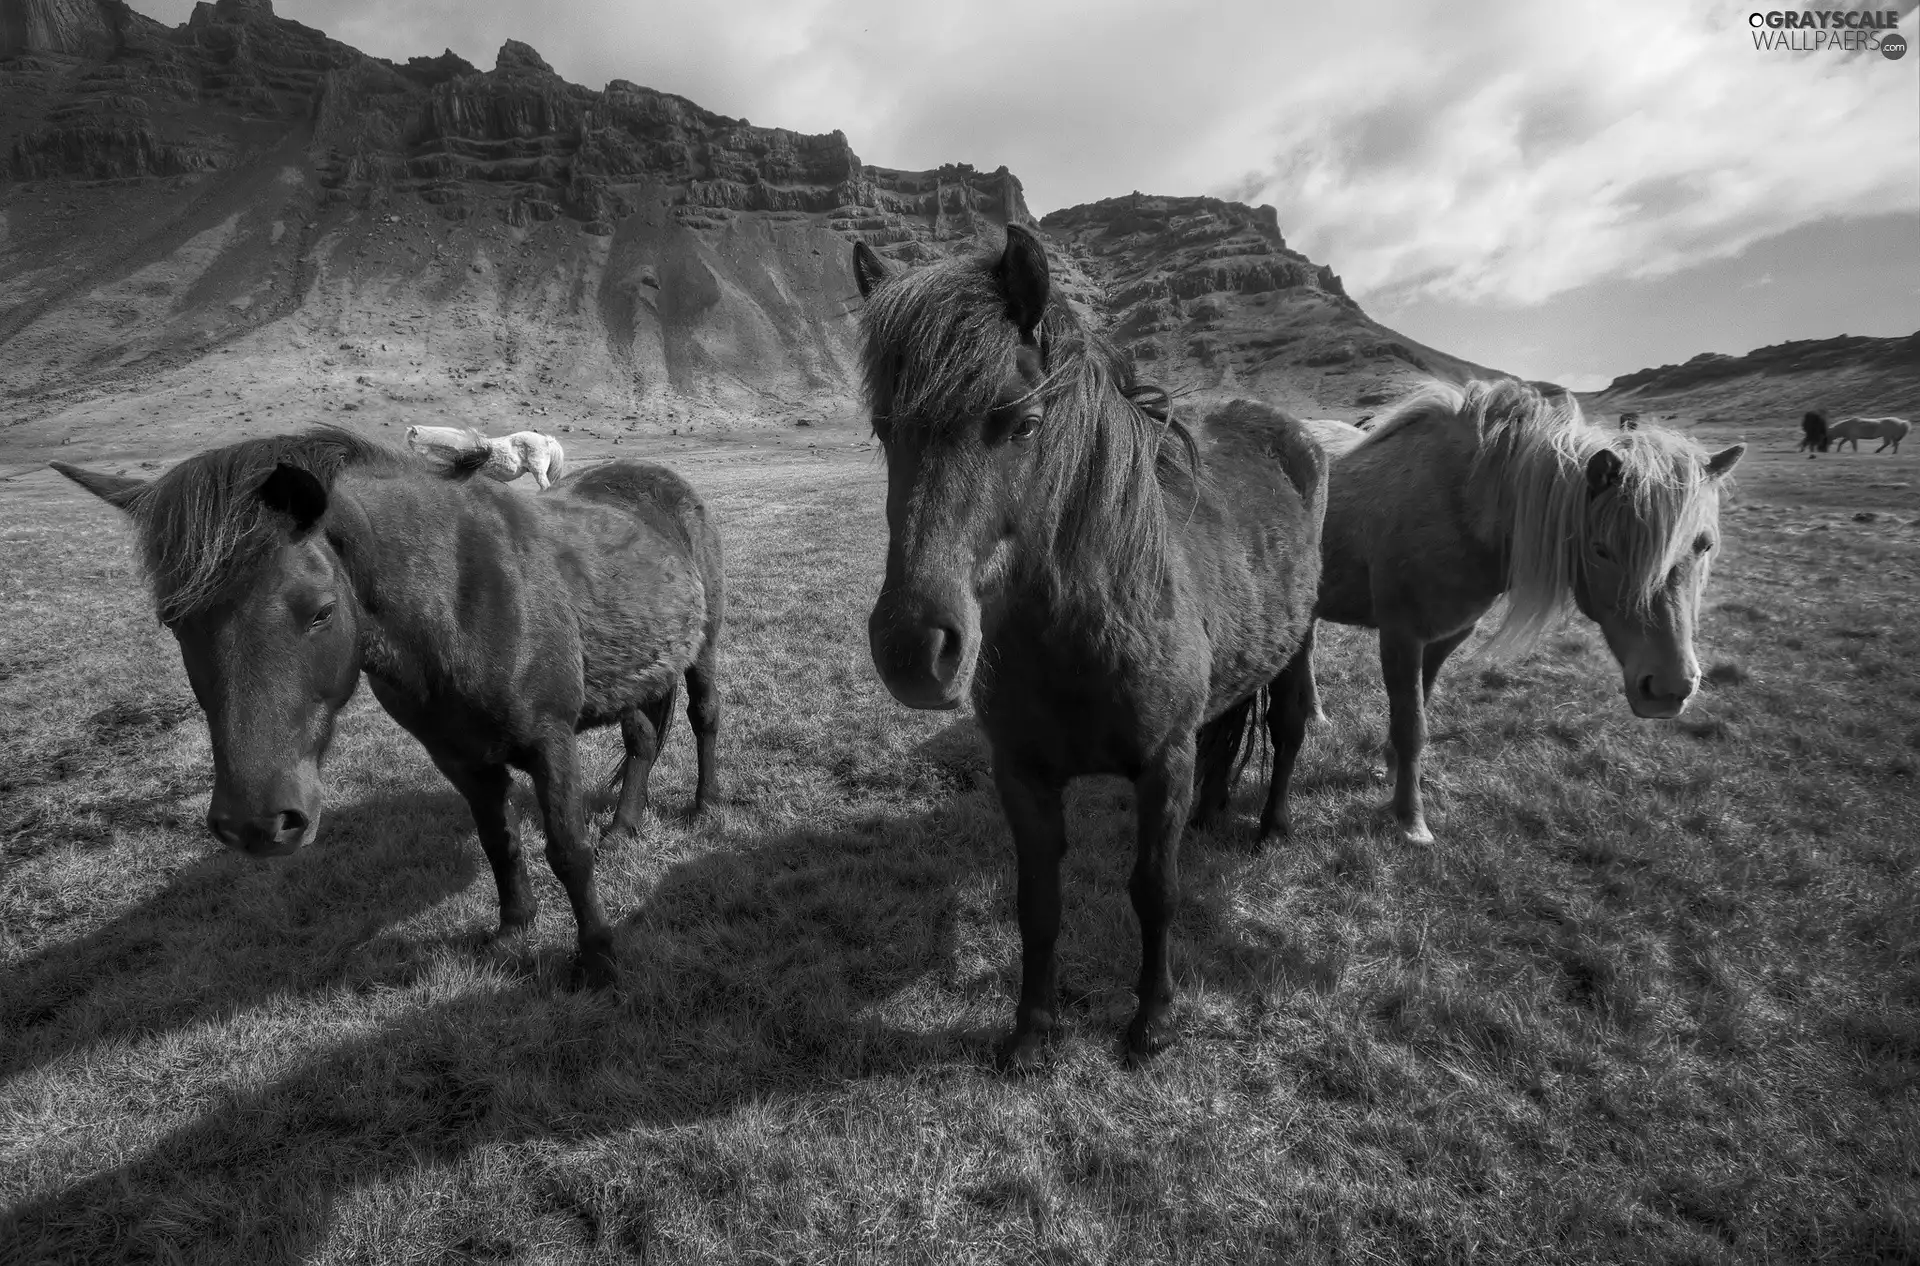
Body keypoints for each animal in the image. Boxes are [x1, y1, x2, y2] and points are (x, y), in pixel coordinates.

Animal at [54, 430, 725, 998]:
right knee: (641, 739)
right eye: (172, 621)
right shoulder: (458, 757)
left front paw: (598, 961)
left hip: (704, 649)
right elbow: (499, 841)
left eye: (321, 611)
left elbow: (568, 851)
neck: (457, 598)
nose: (257, 824)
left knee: (704, 717)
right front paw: (514, 929)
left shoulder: (549, 742)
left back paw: (705, 806)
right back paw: (625, 827)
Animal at [860, 227, 1328, 1068]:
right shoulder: (1021, 773)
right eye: (885, 430)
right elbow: (1038, 902)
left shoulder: (1162, 765)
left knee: (1287, 724)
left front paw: (1153, 1021)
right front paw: (1032, 1032)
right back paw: (1212, 814)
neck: (1084, 628)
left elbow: (1155, 890)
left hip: (1299, 641)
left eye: (1021, 422)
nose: (914, 647)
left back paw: (1271, 827)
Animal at [1305, 382, 1743, 845]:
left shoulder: (1445, 637)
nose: (1668, 689)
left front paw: (1390, 768)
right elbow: (1412, 726)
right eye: (1601, 549)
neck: (1460, 504)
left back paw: (1314, 715)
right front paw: (1411, 820)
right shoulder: (1400, 636)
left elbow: (1418, 709)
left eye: (1704, 544)